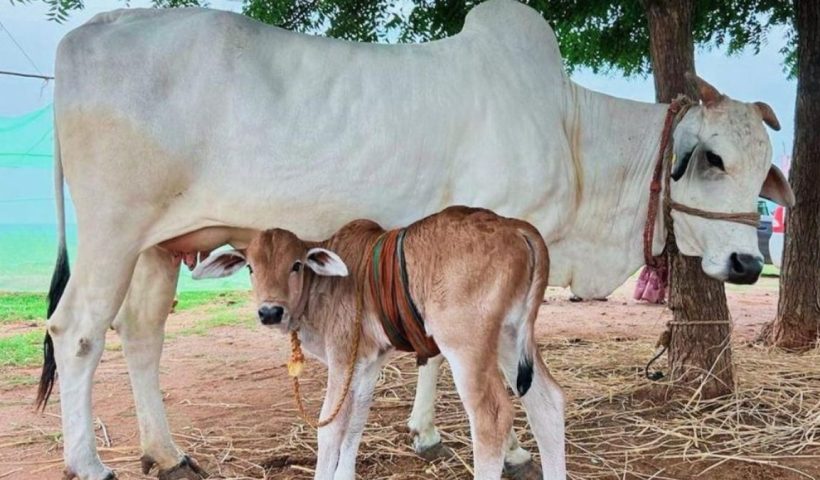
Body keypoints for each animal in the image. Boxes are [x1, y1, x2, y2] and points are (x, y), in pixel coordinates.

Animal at [188, 206, 563, 479]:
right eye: (250, 268)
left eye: (296, 265)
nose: (269, 311)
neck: (324, 286)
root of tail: (514, 227)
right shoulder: (366, 362)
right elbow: (356, 421)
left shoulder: (342, 358)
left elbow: (330, 427)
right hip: (509, 336)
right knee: (547, 402)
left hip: (466, 345)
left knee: (492, 417)